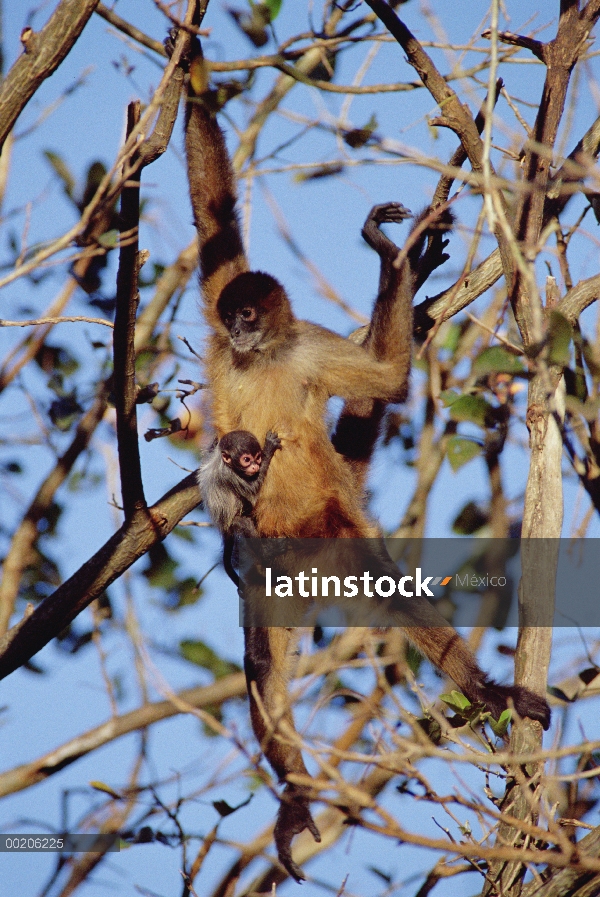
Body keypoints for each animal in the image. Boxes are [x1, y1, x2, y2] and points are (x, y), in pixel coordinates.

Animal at [197, 428, 282, 588]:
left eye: (257, 457)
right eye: (247, 460)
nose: (255, 466)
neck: (224, 462)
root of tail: (222, 525)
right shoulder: (229, 474)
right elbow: (253, 491)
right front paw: (269, 448)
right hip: (233, 522)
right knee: (245, 523)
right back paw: (267, 552)